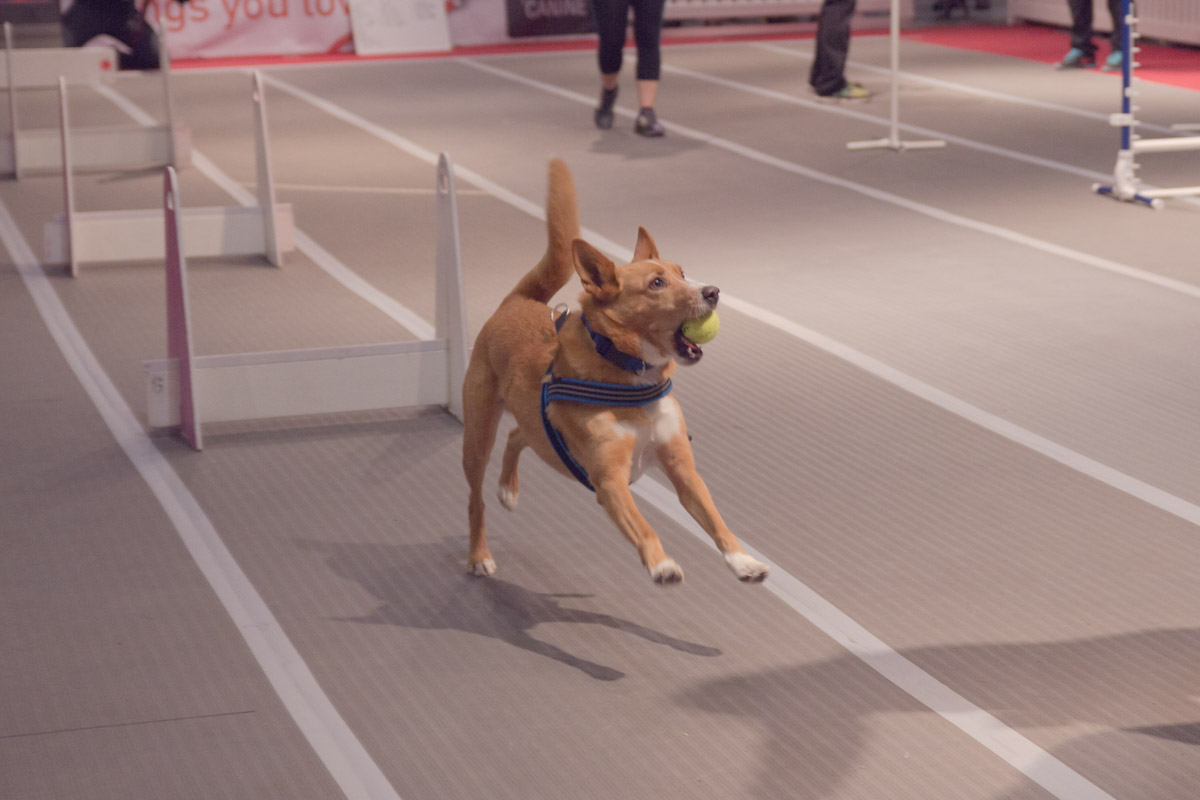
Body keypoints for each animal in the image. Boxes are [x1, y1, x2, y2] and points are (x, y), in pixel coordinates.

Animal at [458, 159, 768, 587]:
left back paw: (508, 489)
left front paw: (742, 560)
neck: (632, 374)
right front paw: (661, 564)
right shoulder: (610, 481)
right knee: (476, 499)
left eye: (681, 271)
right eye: (657, 284)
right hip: (476, 436)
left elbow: (716, 520)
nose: (713, 291)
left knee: (520, 433)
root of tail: (517, 300)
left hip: (532, 426)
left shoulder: (682, 466)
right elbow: (645, 527)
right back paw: (479, 554)